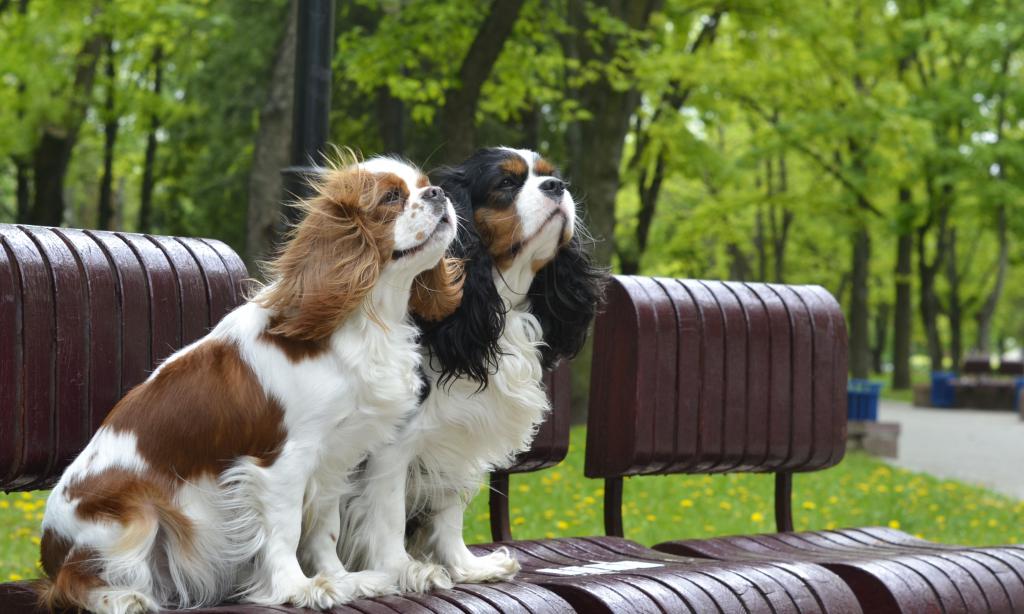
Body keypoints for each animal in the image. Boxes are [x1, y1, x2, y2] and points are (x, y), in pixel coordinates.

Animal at [38, 159, 464, 614]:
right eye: (391, 198)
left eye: (425, 185)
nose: (438, 193)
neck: (366, 317)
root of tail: (49, 549)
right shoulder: (283, 461)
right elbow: (286, 530)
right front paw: (298, 588)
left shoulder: (334, 461)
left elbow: (324, 529)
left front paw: (341, 579)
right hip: (136, 513)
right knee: (71, 584)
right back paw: (121, 597)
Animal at [339, 147, 602, 589]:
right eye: (506, 183)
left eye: (549, 175)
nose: (557, 187)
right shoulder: (392, 445)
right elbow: (387, 512)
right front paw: (404, 570)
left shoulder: (456, 436)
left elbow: (449, 513)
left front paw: (465, 566)